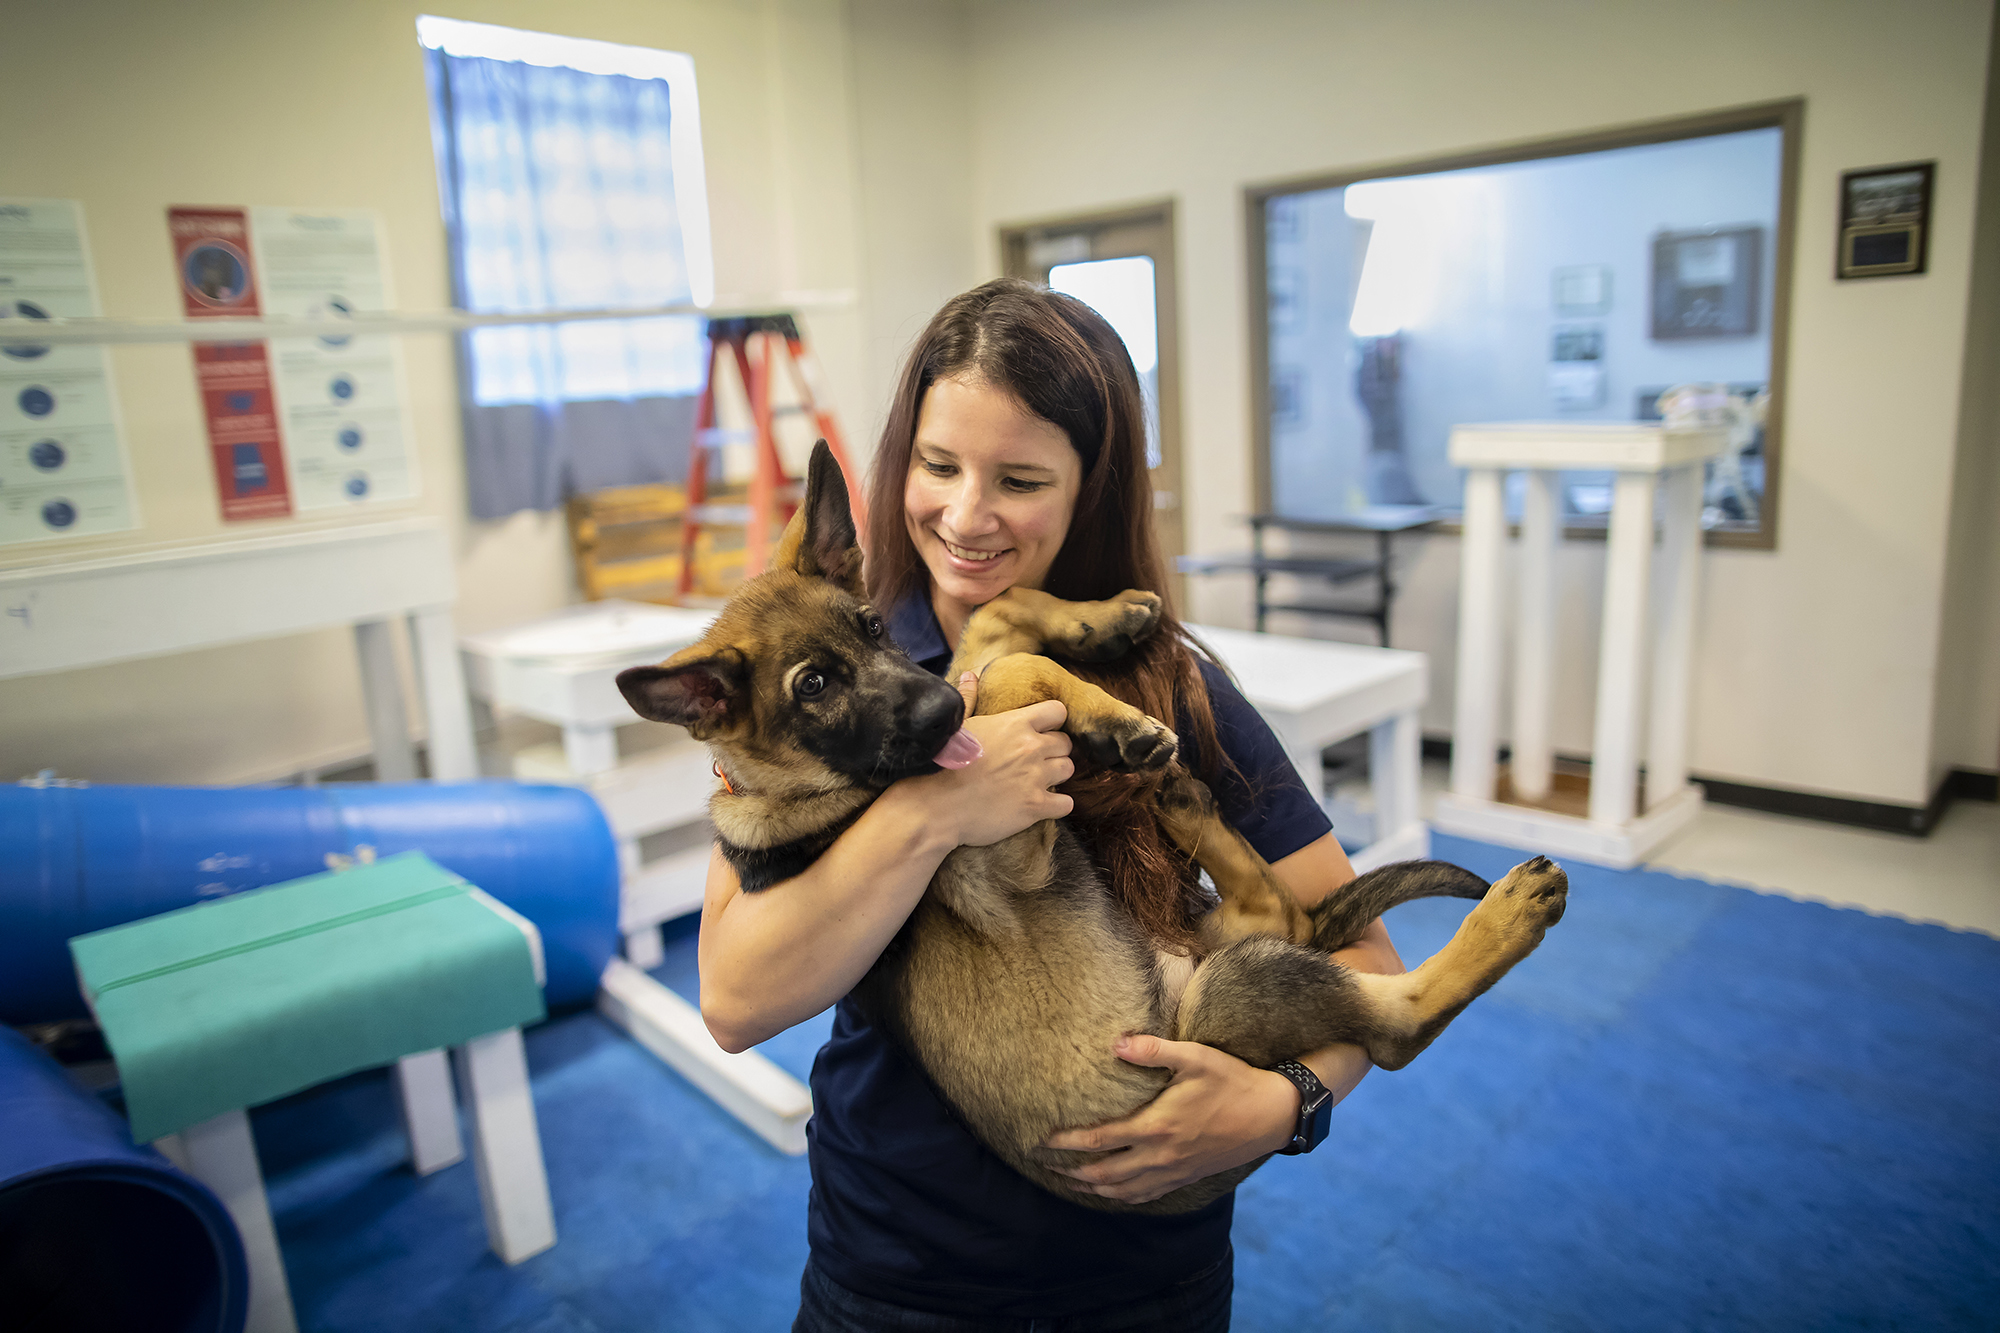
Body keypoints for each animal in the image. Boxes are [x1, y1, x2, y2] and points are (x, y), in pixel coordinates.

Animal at [616, 440, 1568, 1208]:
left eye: (876, 624)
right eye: (812, 685)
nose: (936, 713)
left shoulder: (961, 675)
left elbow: (1001, 616)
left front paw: (1104, 625)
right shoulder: (1008, 844)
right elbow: (1007, 675)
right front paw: (1111, 715)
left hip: (1215, 941)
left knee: (1283, 909)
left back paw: (1182, 795)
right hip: (1235, 990)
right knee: (1399, 1024)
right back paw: (1511, 913)